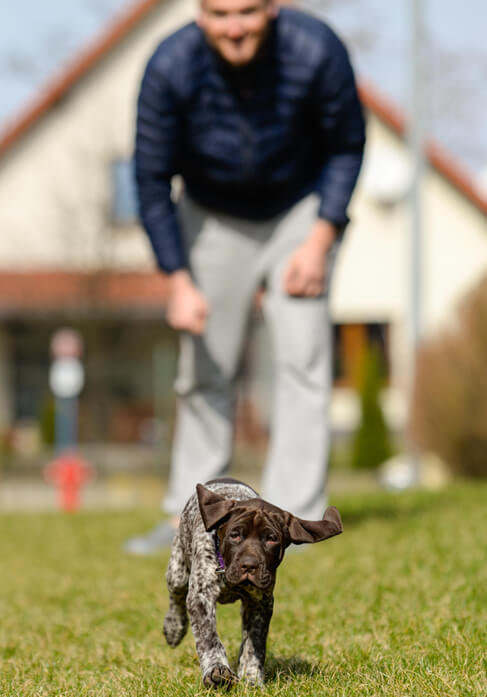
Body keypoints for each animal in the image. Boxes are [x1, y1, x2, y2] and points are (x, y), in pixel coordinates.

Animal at [162, 478, 342, 684]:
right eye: (235, 535)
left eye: (271, 539)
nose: (249, 566)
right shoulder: (201, 596)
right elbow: (209, 638)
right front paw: (217, 670)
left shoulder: (260, 602)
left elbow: (254, 643)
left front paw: (251, 676)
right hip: (177, 570)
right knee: (176, 596)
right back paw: (174, 628)